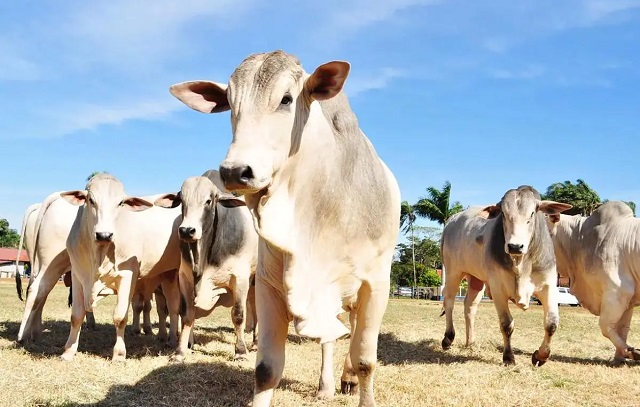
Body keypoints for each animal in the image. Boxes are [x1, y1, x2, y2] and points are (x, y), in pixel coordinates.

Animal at [59, 174, 182, 362]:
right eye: (91, 200)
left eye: (120, 203)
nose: (104, 235)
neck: (99, 256)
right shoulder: (78, 275)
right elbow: (76, 316)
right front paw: (69, 351)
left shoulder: (127, 276)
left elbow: (120, 317)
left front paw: (119, 354)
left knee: (174, 309)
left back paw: (174, 340)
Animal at [170, 49, 400, 406]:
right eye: (230, 104)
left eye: (286, 99)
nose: (236, 171)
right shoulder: (268, 284)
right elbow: (266, 369)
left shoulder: (375, 285)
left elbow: (365, 360)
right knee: (330, 338)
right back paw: (328, 385)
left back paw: (343, 379)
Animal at [548, 202, 640, 364]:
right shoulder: (628, 300)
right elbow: (622, 329)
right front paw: (619, 358)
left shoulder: (617, 292)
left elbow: (605, 326)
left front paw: (632, 352)